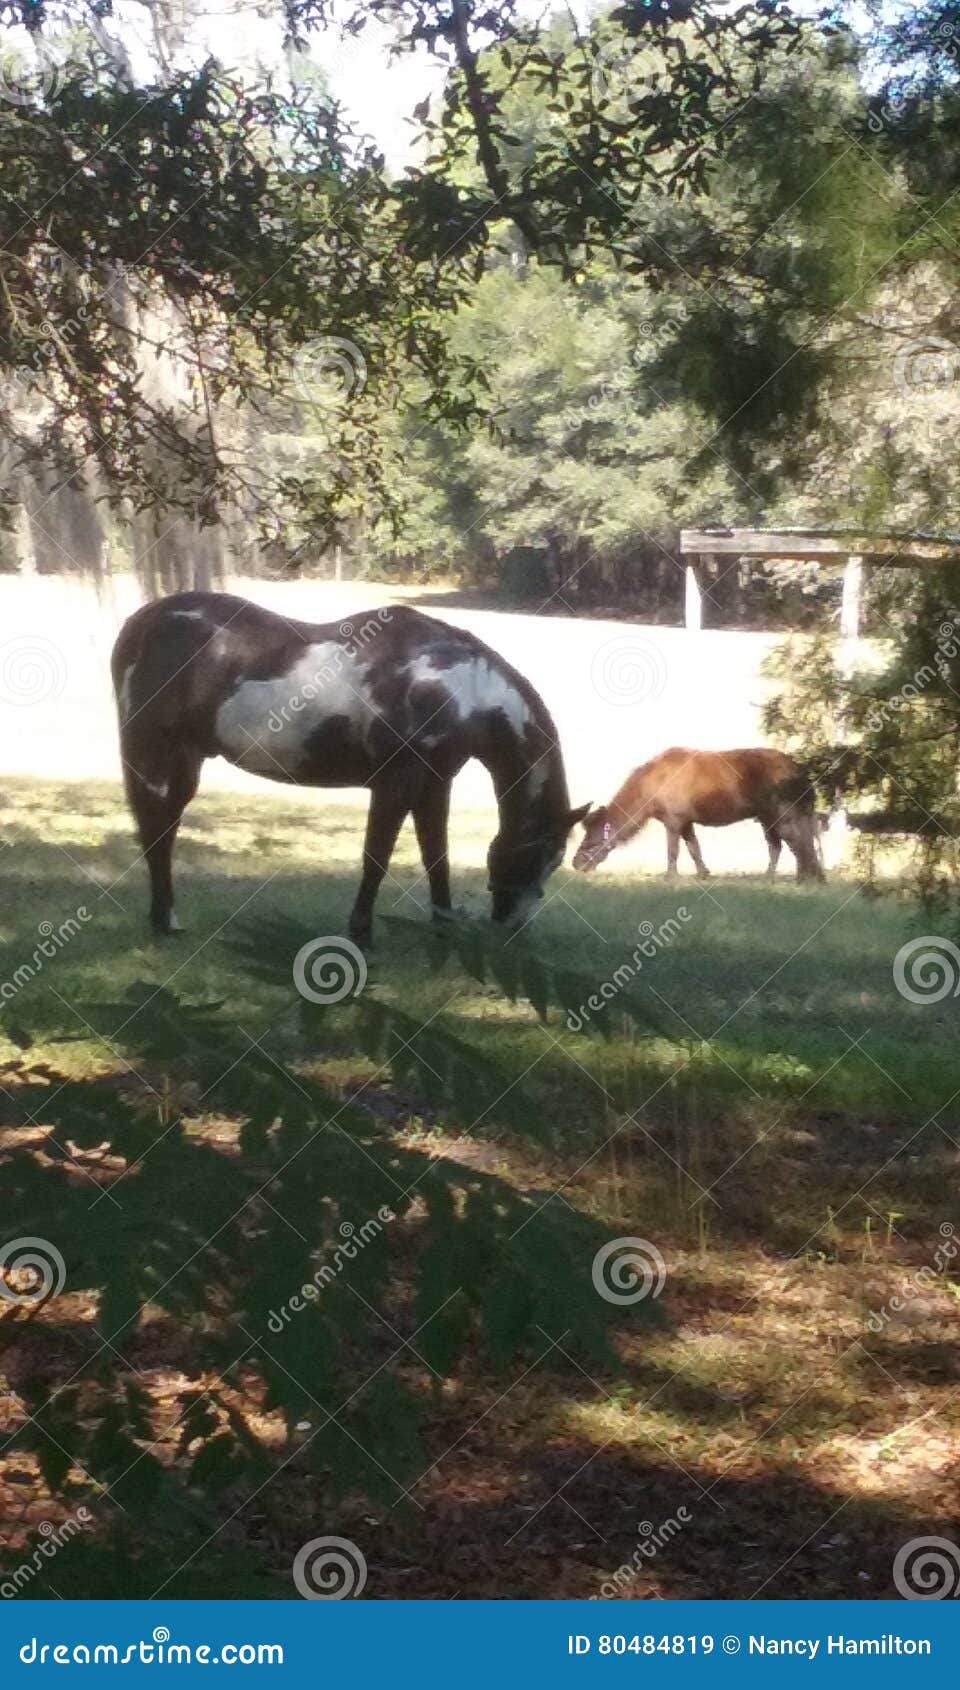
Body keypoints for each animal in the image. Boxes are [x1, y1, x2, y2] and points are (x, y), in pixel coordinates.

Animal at [111, 591, 588, 943]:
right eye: (544, 857)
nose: (515, 928)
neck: (462, 688)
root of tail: (142, 621)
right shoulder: (396, 783)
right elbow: (376, 857)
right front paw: (361, 932)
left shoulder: (435, 784)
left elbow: (436, 855)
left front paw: (443, 925)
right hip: (153, 753)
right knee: (156, 829)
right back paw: (166, 921)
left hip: (185, 759)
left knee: (164, 828)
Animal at [572, 747, 825, 881]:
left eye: (590, 838)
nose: (575, 863)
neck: (648, 793)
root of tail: (801, 773)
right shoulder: (686, 822)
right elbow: (694, 849)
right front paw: (703, 873)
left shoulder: (673, 820)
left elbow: (673, 851)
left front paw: (670, 876)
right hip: (768, 817)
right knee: (787, 844)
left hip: (780, 813)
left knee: (796, 842)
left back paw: (803, 877)